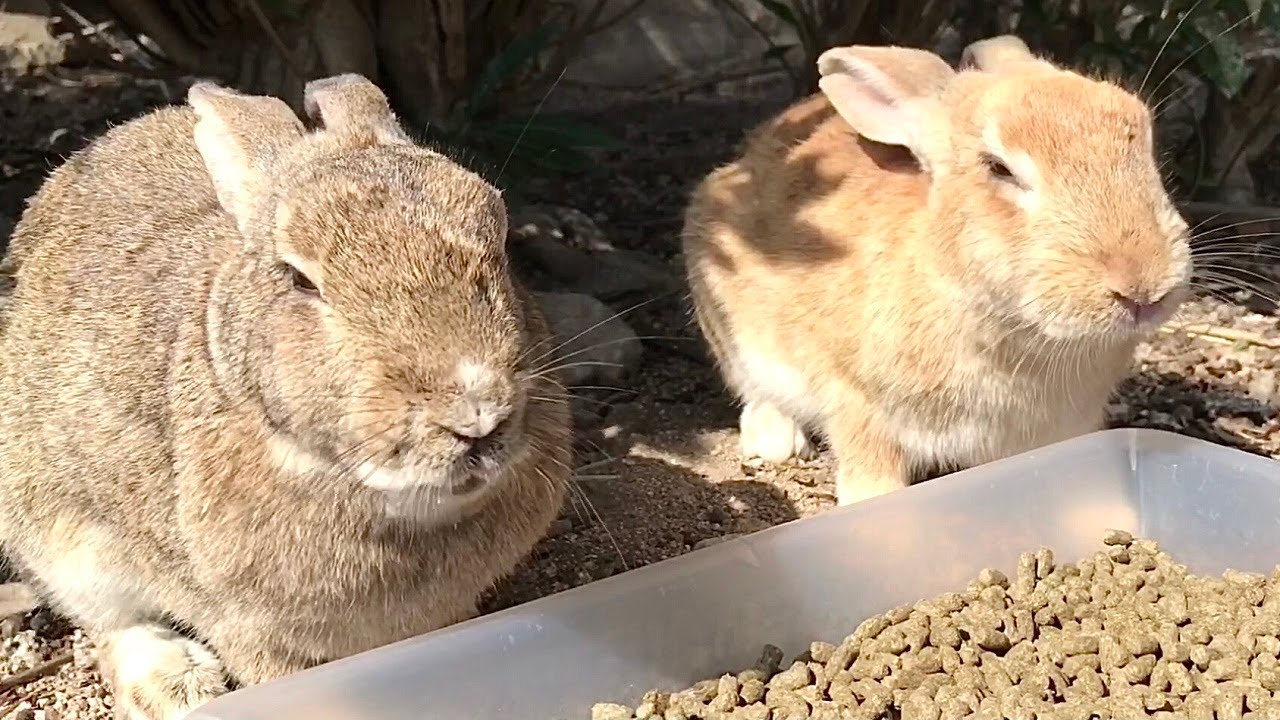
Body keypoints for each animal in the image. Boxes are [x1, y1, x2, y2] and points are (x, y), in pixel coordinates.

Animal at [0, 73, 571, 720]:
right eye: (299, 280)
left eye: (500, 238)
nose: (476, 416)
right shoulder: (249, 628)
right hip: (59, 540)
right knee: (111, 624)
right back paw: (175, 686)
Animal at [681, 36, 1191, 507]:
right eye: (999, 168)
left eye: (1145, 143)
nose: (1143, 288)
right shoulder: (856, 400)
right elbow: (872, 470)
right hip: (731, 331)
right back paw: (776, 442)